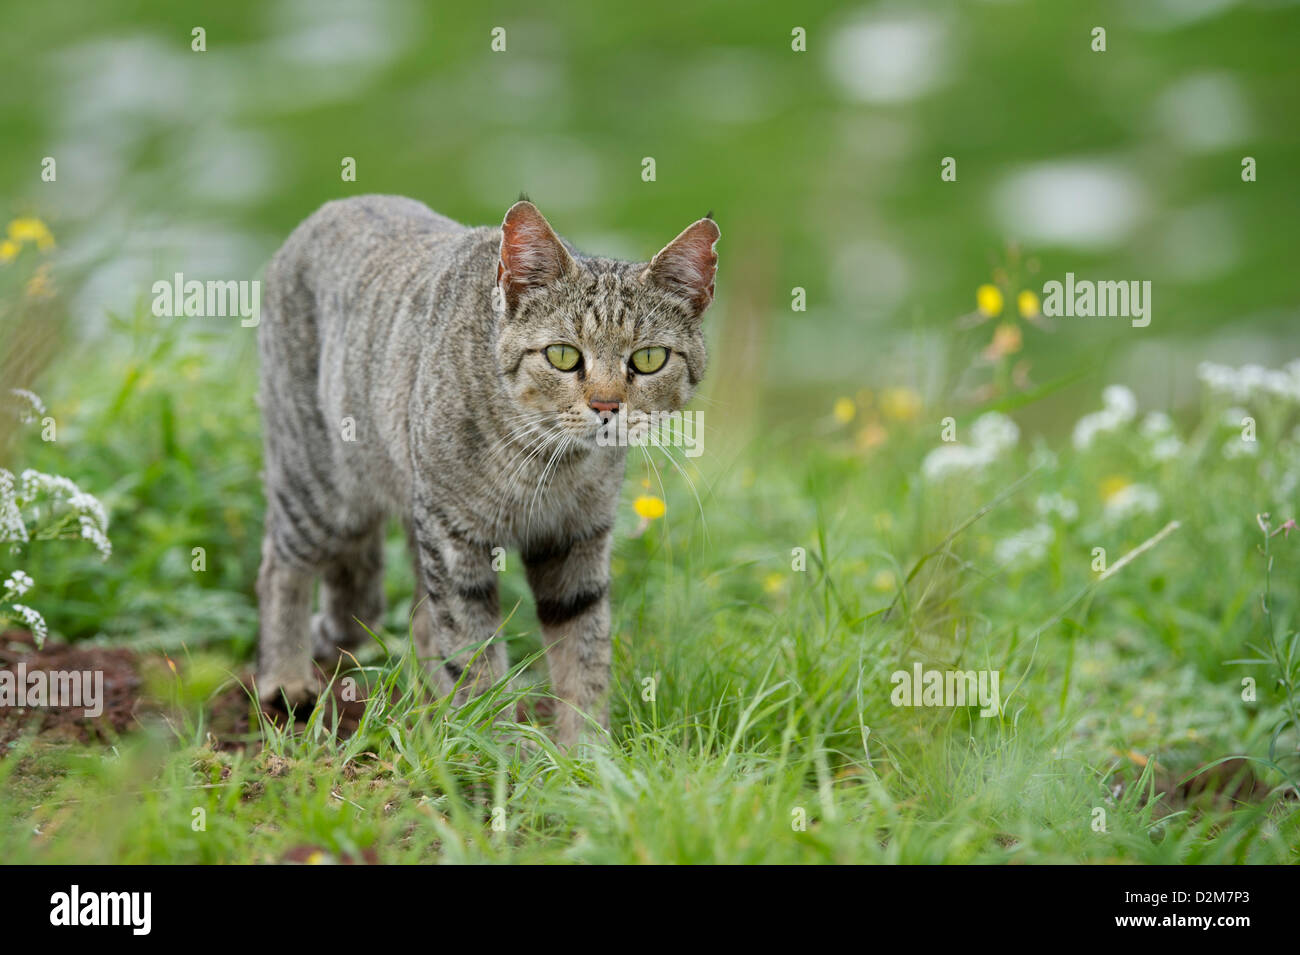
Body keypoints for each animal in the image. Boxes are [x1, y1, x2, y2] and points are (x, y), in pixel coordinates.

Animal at [253, 196, 722, 748]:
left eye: (648, 359)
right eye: (563, 355)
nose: (606, 406)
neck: (549, 463)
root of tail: (333, 207)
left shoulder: (575, 541)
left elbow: (583, 654)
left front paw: (586, 748)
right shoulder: (454, 539)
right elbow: (473, 652)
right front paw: (491, 744)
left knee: (414, 617)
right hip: (325, 492)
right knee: (278, 564)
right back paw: (286, 677)